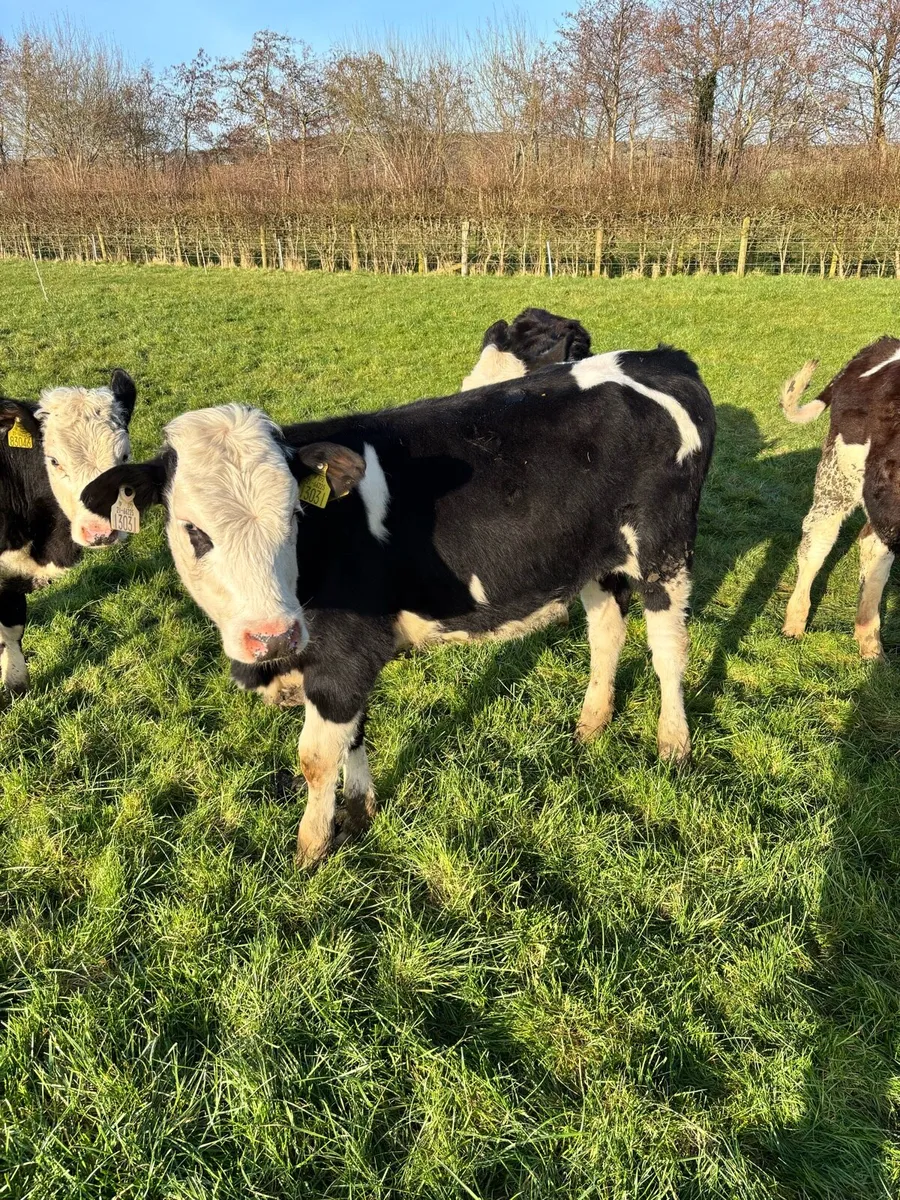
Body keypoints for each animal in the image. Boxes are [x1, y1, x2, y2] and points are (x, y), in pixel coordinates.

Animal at [82, 348, 715, 867]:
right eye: (194, 530)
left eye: (295, 515)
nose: (274, 635)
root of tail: (661, 357)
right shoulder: (344, 659)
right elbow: (354, 737)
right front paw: (361, 810)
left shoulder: (342, 656)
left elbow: (317, 757)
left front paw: (311, 851)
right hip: (597, 560)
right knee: (606, 633)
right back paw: (591, 723)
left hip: (664, 552)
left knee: (668, 650)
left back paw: (673, 743)